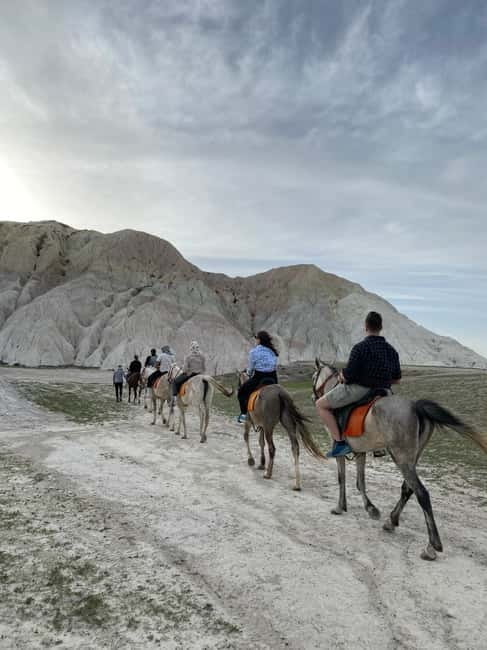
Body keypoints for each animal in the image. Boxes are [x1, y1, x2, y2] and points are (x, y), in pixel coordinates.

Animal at [312, 359, 487, 560]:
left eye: (313, 376)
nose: (313, 396)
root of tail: (415, 406)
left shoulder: (340, 451)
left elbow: (342, 479)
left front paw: (340, 507)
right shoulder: (360, 451)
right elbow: (360, 482)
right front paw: (371, 508)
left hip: (401, 457)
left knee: (421, 493)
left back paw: (431, 546)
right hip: (411, 458)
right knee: (407, 489)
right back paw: (391, 521)